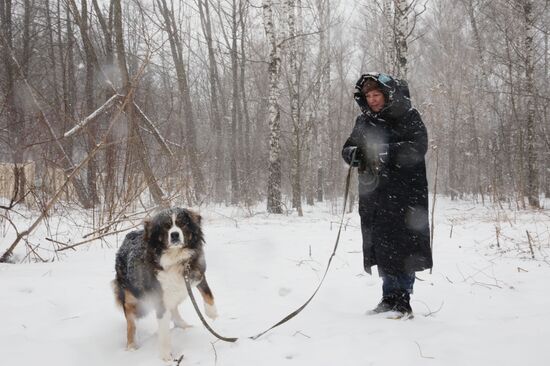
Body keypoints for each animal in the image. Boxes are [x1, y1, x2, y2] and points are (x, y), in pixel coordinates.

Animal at [112, 207, 218, 362]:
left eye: (182, 224)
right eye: (166, 227)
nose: (174, 235)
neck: (175, 257)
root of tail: (129, 235)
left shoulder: (195, 271)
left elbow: (208, 292)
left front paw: (212, 313)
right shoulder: (159, 298)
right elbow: (164, 330)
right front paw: (166, 356)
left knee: (174, 307)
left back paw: (183, 325)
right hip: (131, 297)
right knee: (131, 324)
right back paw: (131, 346)